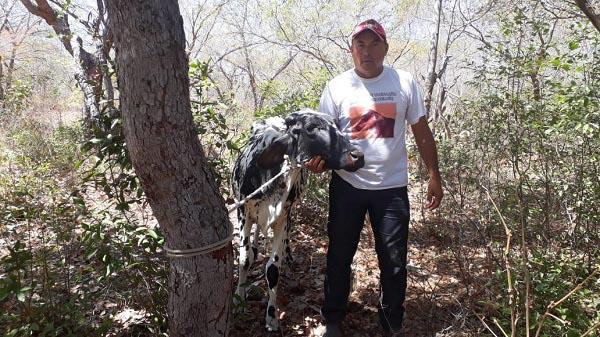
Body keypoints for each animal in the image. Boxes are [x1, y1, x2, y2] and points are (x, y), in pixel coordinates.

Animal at [230, 108, 364, 330]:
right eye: (311, 127)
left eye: (336, 124)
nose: (358, 156)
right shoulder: (243, 212)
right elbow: (244, 259)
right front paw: (239, 300)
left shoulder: (282, 218)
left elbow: (273, 269)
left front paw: (272, 316)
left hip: (289, 212)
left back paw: (288, 256)